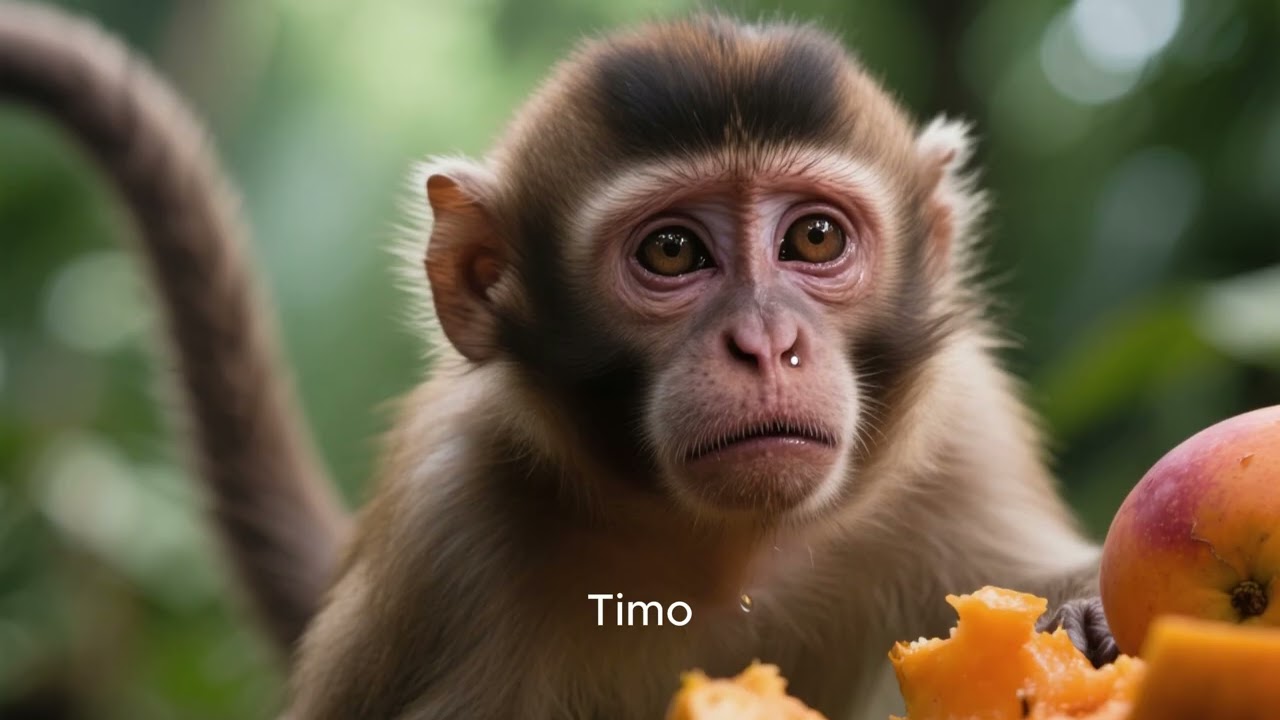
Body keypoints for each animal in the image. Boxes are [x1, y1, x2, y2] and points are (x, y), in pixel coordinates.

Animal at [0, 4, 1118, 720]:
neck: (717, 548)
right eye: (670, 253)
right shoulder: (455, 536)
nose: (766, 342)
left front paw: (1086, 613)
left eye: (812, 239)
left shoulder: (961, 434)